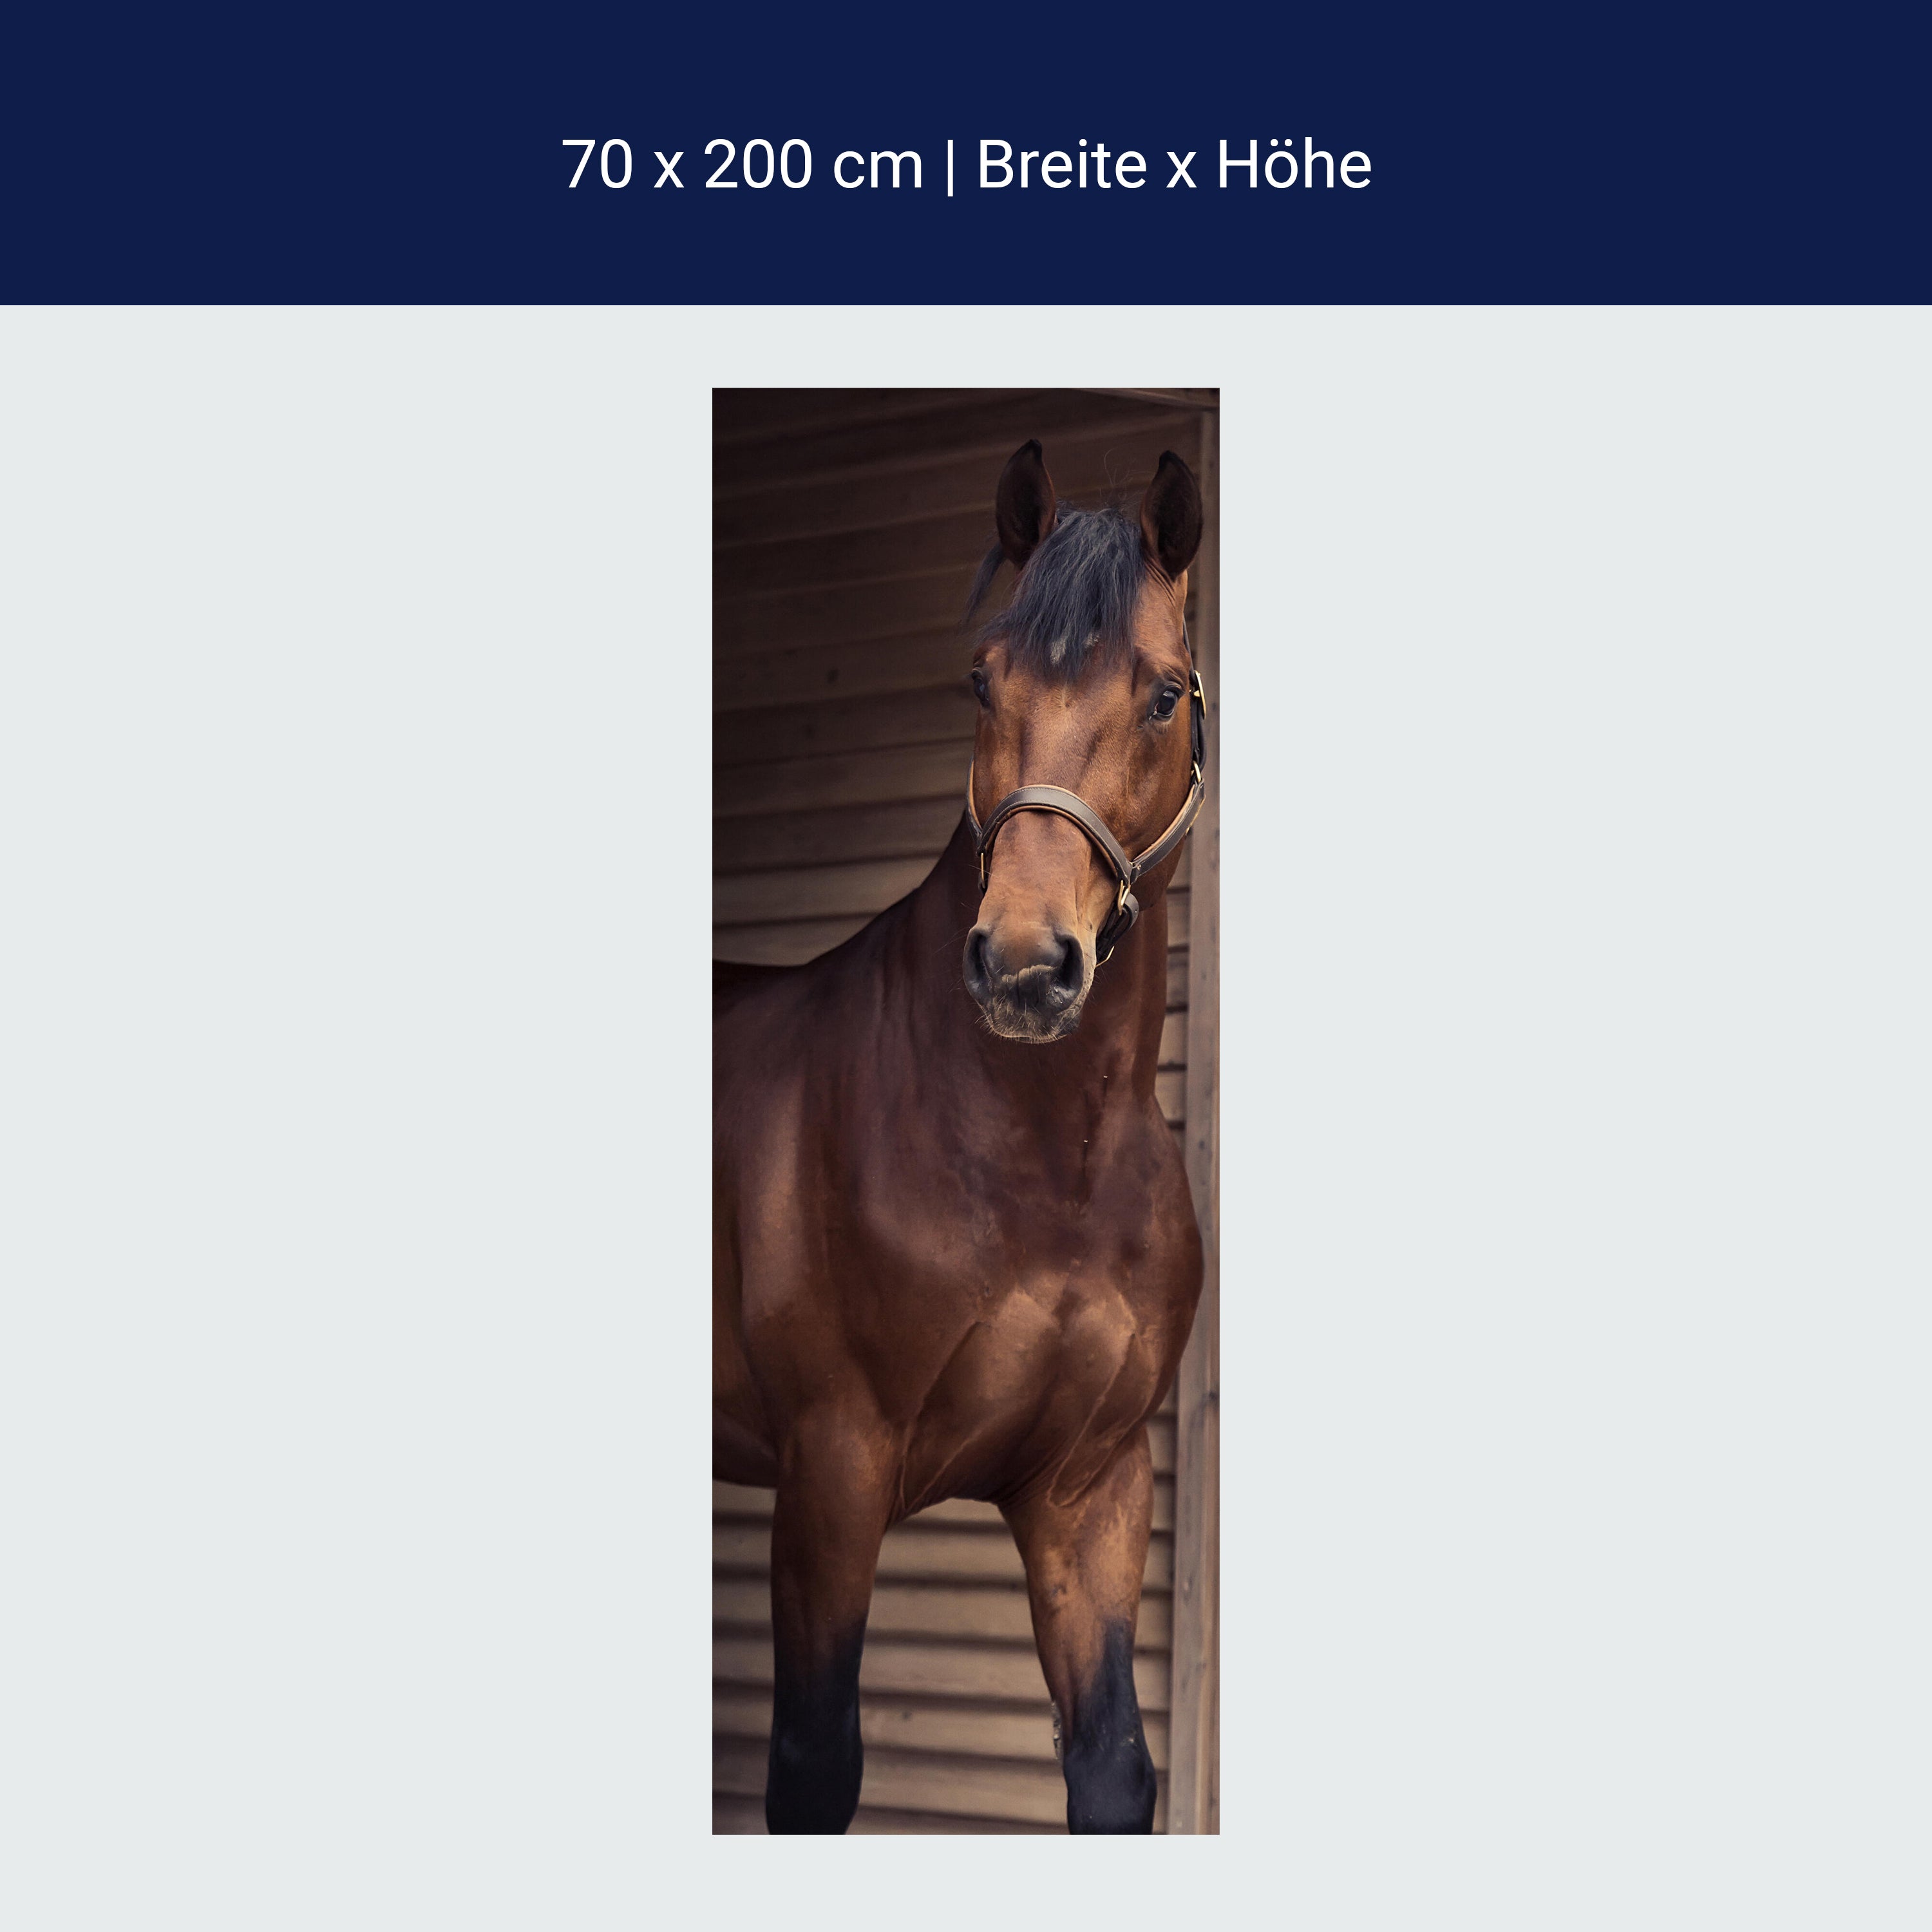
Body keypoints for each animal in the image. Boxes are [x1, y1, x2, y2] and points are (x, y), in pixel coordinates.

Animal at [713, 439, 1208, 1834]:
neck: (1044, 1160)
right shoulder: (832, 1473)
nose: (1026, 969)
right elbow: (813, 1769)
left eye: (1164, 693)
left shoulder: (1089, 1493)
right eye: (982, 679)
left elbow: (1112, 1769)